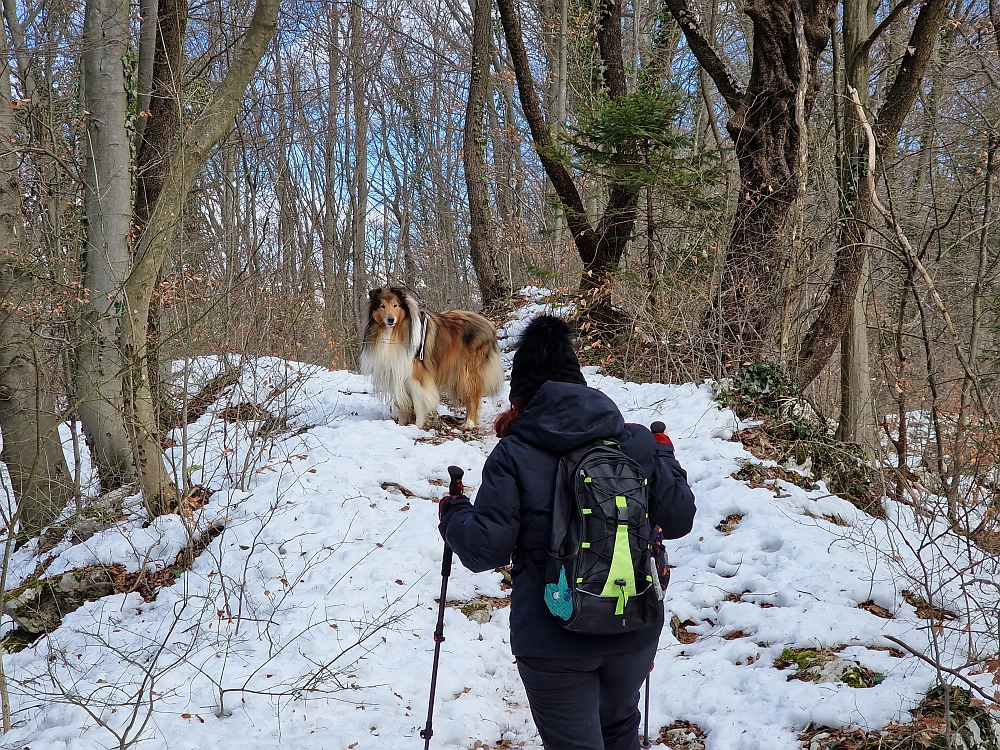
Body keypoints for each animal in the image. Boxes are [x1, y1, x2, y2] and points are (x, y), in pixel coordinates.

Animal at [360, 286, 504, 428]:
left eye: (395, 305)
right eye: (382, 306)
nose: (390, 320)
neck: (394, 332)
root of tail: (489, 324)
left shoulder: (417, 376)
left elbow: (418, 404)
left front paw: (418, 426)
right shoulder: (395, 372)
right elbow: (401, 405)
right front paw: (401, 425)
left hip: (467, 372)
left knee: (473, 396)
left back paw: (469, 423)